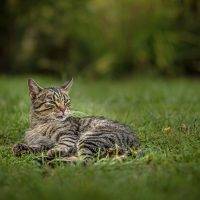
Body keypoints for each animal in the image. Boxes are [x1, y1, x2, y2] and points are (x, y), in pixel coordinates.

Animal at [12, 78, 141, 164]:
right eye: (52, 102)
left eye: (66, 102)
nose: (63, 109)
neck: (39, 124)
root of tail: (137, 143)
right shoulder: (42, 143)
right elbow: (35, 147)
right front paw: (21, 148)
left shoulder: (68, 136)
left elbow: (61, 145)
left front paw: (52, 152)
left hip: (91, 137)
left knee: (85, 162)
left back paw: (49, 161)